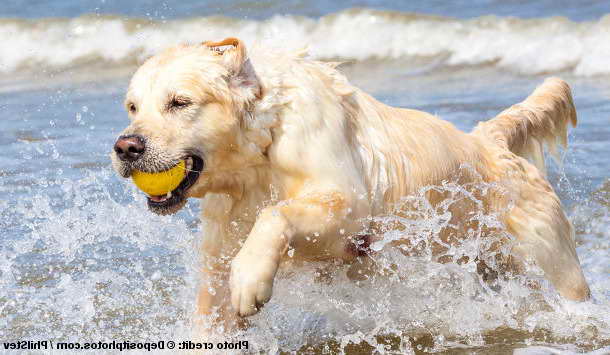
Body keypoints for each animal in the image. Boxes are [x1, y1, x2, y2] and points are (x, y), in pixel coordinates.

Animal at [110, 37, 588, 332]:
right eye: (133, 106)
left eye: (179, 103)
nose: (126, 147)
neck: (259, 154)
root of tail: (487, 140)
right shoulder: (221, 243)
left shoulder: (349, 206)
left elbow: (276, 213)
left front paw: (250, 278)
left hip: (548, 255)